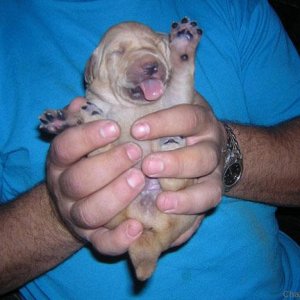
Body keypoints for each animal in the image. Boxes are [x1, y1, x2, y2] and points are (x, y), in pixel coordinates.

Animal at [39, 18, 203, 282]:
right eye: (118, 52)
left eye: (156, 46)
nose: (151, 65)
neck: (132, 106)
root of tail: (147, 230)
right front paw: (66, 118)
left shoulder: (175, 103)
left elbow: (179, 79)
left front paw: (182, 46)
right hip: (115, 213)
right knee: (102, 149)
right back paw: (81, 118)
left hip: (178, 205)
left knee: (174, 183)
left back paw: (170, 144)